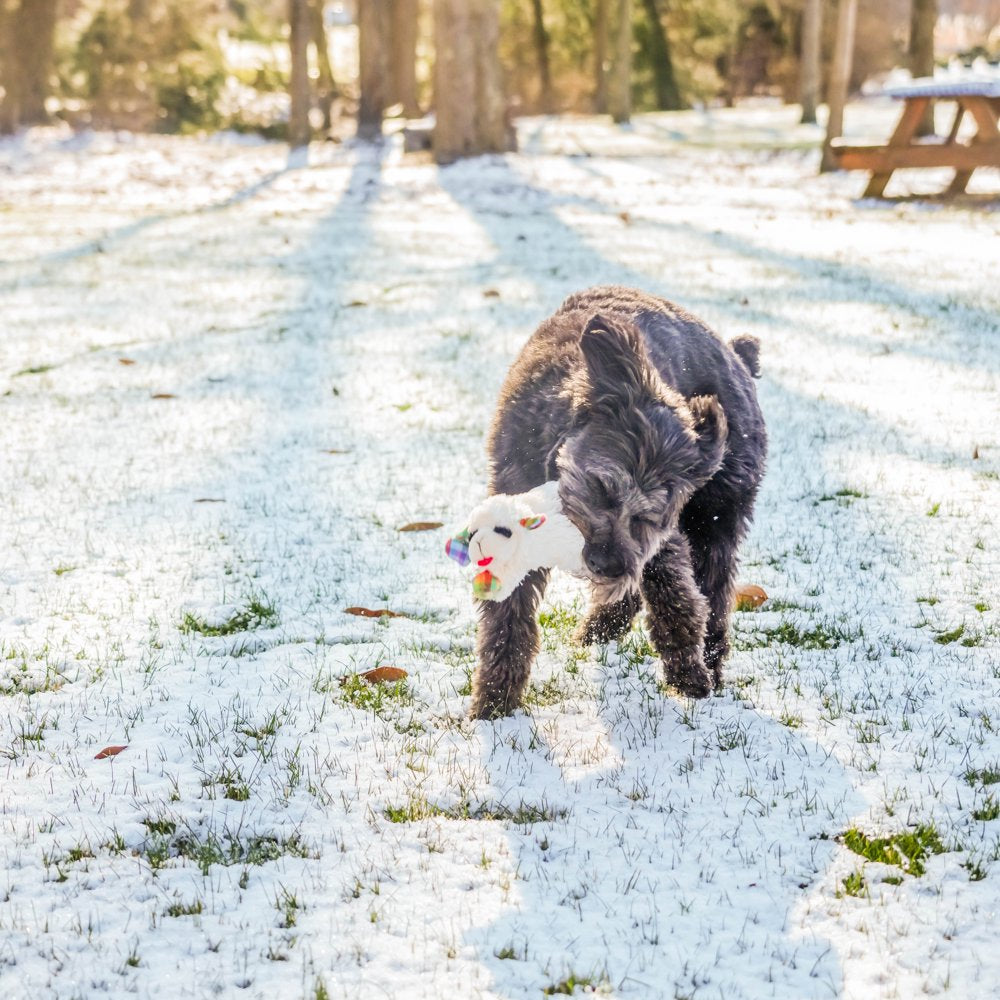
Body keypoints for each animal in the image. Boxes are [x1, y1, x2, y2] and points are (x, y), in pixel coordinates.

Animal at [472, 288, 768, 720]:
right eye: (602, 487)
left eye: (650, 517)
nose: (608, 565)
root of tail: (737, 356)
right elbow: (508, 615)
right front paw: (493, 704)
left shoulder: (665, 539)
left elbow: (677, 595)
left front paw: (687, 670)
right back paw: (599, 630)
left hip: (717, 518)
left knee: (713, 594)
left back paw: (708, 665)